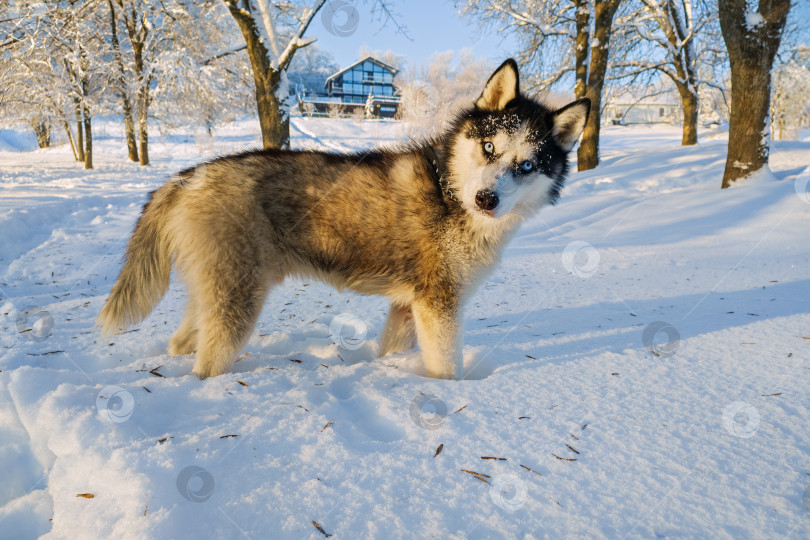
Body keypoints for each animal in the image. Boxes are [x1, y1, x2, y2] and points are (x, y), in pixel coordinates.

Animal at [98, 60, 588, 380]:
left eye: (527, 165)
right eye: (489, 148)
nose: (486, 198)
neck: (449, 193)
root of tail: (188, 176)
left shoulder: (408, 307)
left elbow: (393, 348)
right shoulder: (439, 307)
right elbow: (446, 370)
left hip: (216, 293)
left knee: (182, 341)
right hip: (237, 307)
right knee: (206, 364)